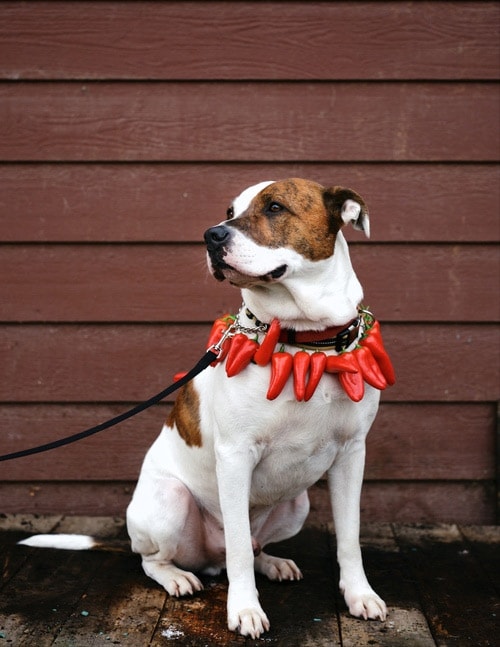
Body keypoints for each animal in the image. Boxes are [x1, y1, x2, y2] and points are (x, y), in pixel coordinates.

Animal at [20, 180, 386, 640]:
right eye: (229, 211)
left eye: (275, 207)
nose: (212, 235)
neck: (304, 342)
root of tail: (207, 559)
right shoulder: (235, 456)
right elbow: (239, 550)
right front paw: (245, 610)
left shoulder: (352, 453)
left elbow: (349, 537)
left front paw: (360, 595)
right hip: (171, 501)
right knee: (161, 558)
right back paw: (178, 576)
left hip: (297, 504)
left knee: (251, 546)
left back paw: (272, 562)